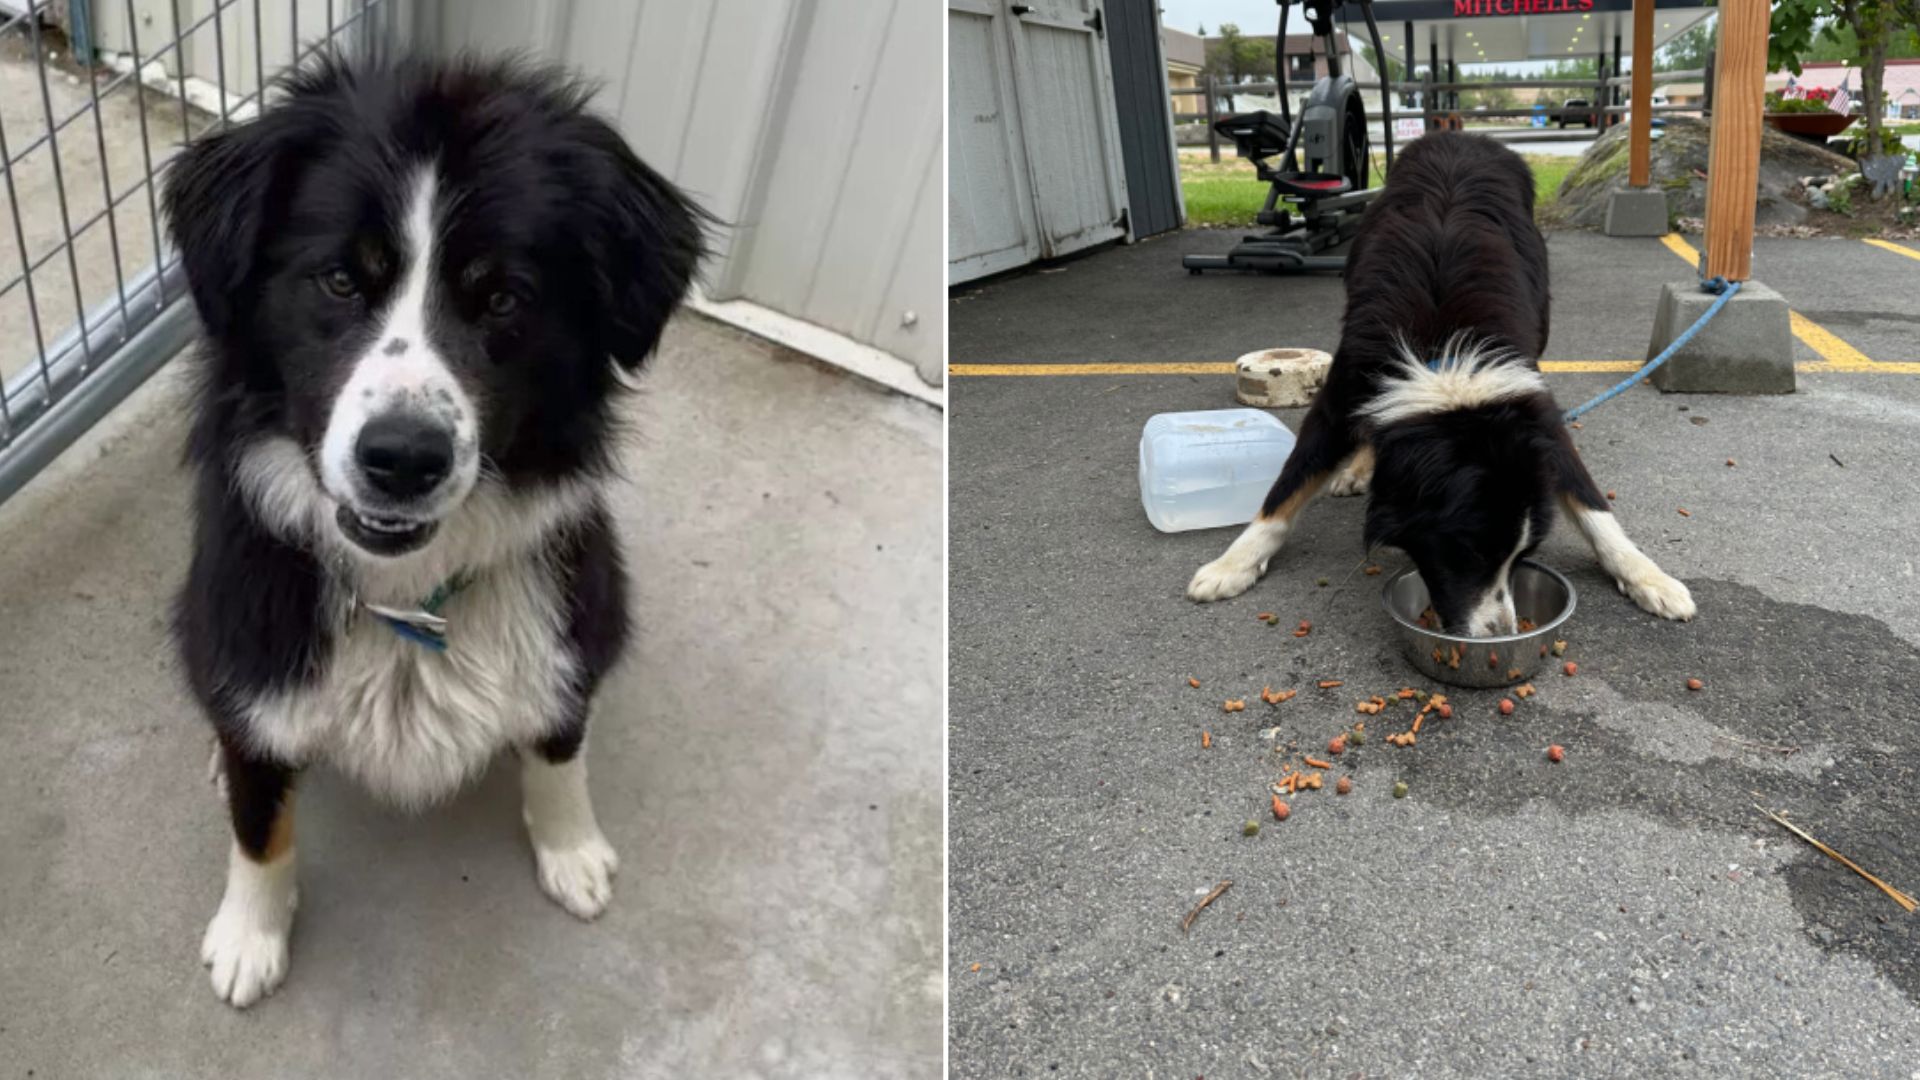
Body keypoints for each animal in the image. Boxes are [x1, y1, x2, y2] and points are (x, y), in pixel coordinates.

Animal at [165, 56, 706, 999]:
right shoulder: (250, 640)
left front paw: (572, 850)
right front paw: (250, 935)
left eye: (503, 297)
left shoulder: (573, 625)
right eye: (341, 279)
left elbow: (559, 742)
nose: (403, 459)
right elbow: (259, 819)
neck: (410, 596)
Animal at [1182, 131, 1697, 630]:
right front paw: (1232, 564)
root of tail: (1463, 136)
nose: (1503, 634)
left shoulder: (1534, 418)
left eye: (1522, 556)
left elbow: (1594, 506)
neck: (1445, 357)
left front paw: (1649, 577)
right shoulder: (1347, 388)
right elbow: (1285, 489)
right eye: (1469, 550)